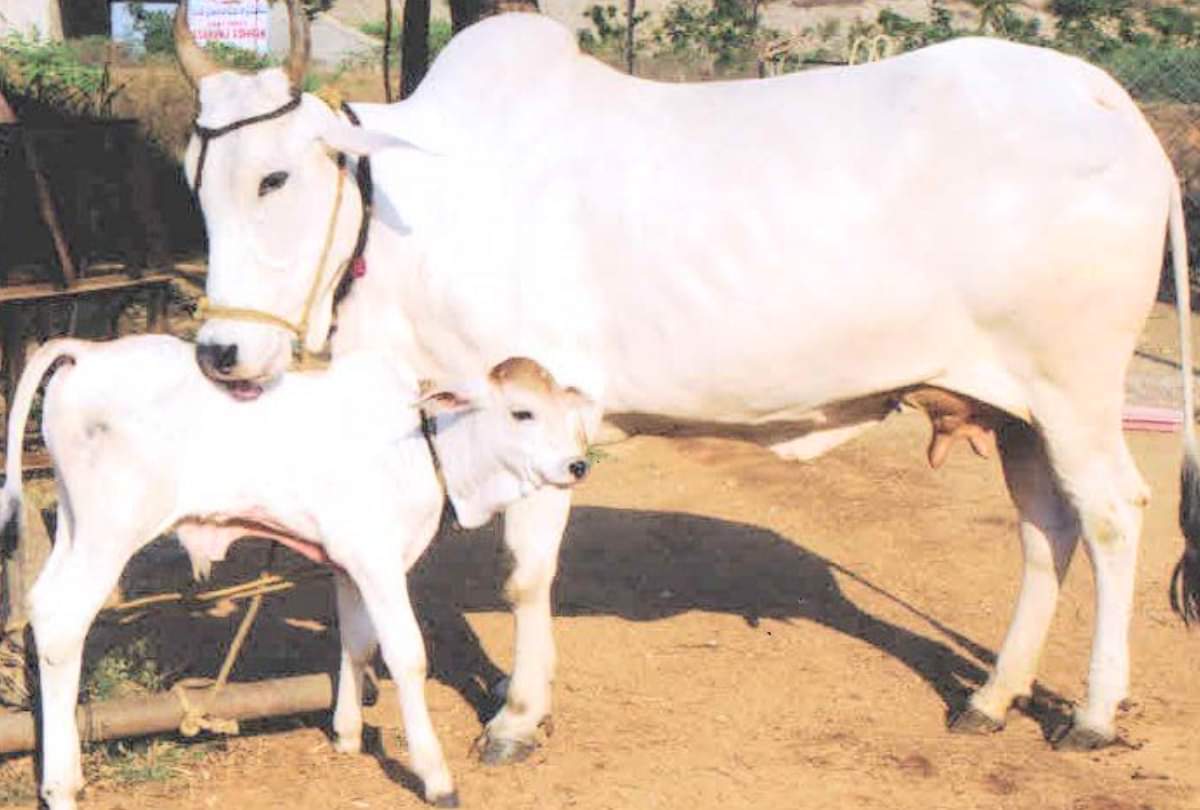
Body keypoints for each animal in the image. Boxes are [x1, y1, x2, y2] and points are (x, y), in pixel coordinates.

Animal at [0, 334, 593, 810]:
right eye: (522, 413)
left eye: (566, 411)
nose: (578, 465)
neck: (425, 443)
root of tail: (89, 351)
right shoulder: (378, 560)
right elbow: (407, 656)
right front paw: (436, 777)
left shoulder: (349, 565)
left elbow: (357, 643)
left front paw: (347, 735)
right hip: (112, 530)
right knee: (63, 623)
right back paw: (61, 787)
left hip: (76, 525)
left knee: (42, 607)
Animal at [172, 0, 1199, 765]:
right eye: (196, 181)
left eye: (274, 178)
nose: (220, 353)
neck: (410, 212)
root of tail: (1108, 101)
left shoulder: (543, 403)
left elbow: (525, 574)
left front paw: (517, 717)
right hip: (1012, 408)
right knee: (1045, 534)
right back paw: (992, 697)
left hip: (1074, 390)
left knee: (1112, 516)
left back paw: (1093, 713)